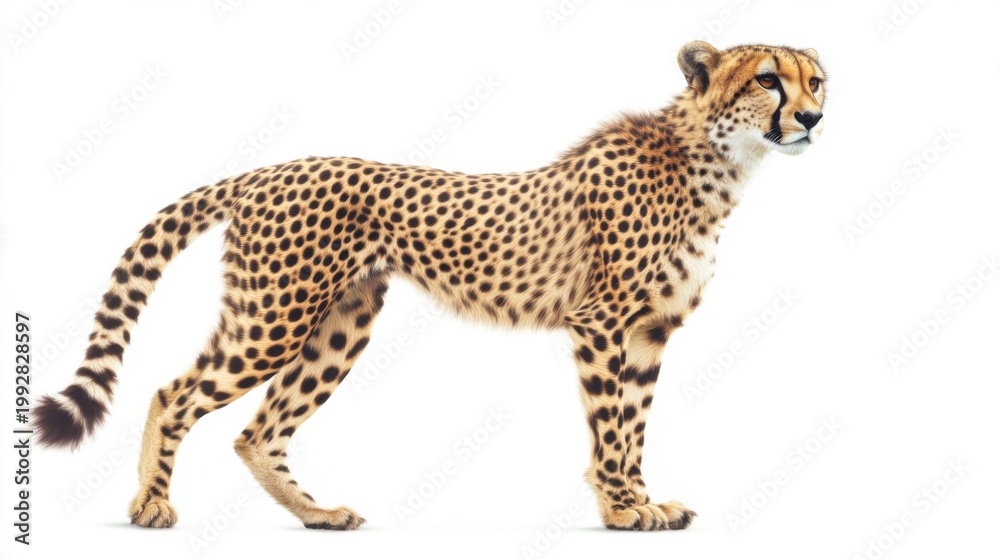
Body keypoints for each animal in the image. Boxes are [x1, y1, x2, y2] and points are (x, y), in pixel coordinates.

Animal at [35, 41, 826, 531]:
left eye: (814, 80)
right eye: (766, 79)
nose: (814, 118)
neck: (719, 162)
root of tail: (269, 169)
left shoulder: (650, 331)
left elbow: (633, 426)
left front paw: (643, 503)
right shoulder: (602, 323)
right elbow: (610, 428)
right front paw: (623, 508)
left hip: (337, 324)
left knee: (259, 431)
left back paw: (318, 515)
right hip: (274, 319)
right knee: (173, 393)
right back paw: (150, 506)